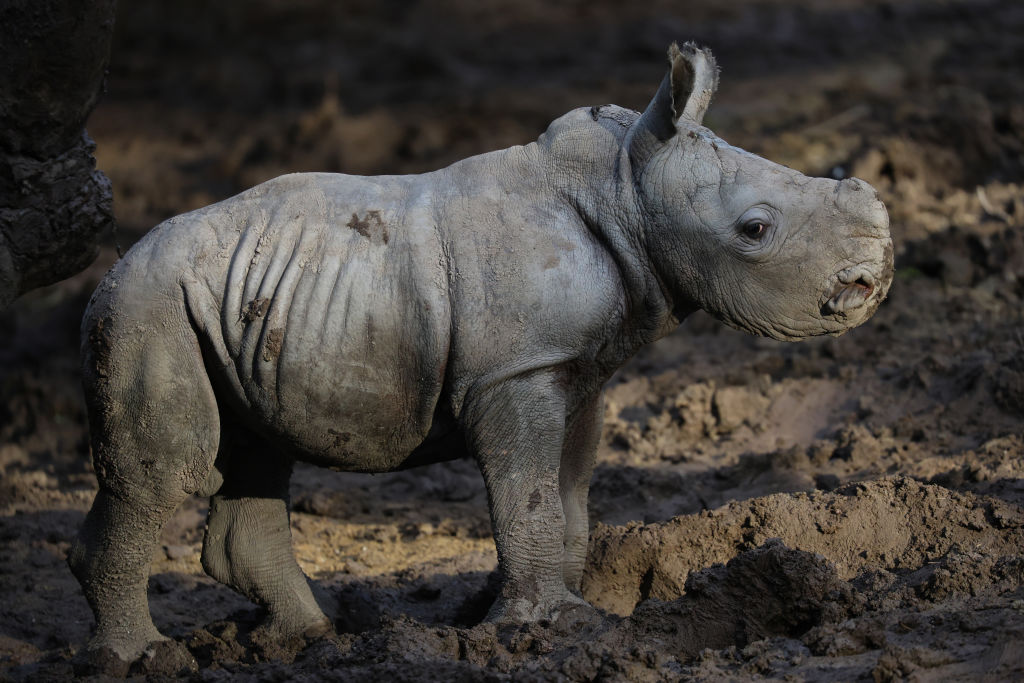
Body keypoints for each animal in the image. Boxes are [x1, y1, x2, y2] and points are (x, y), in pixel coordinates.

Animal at [69, 42, 893, 665]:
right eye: (755, 230)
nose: (871, 281)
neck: (625, 184)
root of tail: (106, 273)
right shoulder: (516, 371)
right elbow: (527, 495)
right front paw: (541, 627)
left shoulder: (575, 369)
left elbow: (569, 495)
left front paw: (576, 614)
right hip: (146, 306)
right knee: (167, 472)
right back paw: (143, 658)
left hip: (229, 299)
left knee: (256, 450)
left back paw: (311, 638)